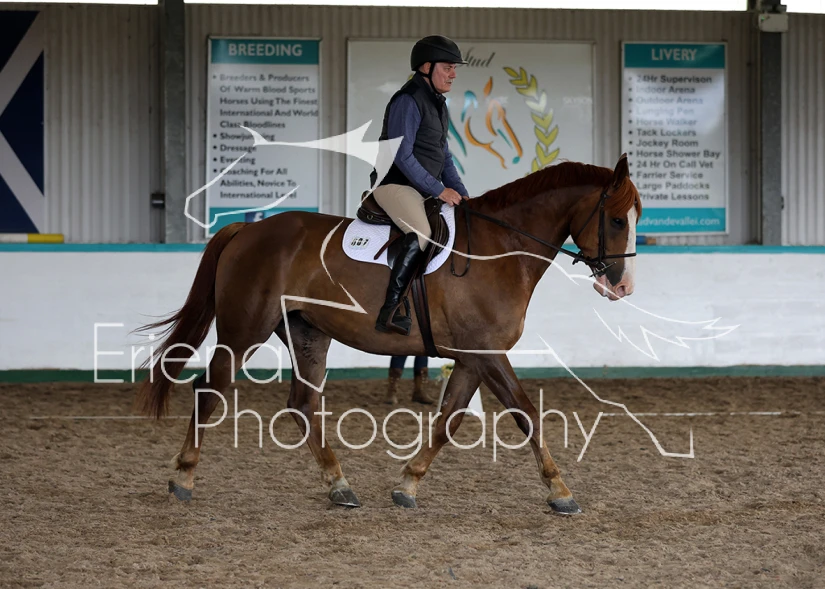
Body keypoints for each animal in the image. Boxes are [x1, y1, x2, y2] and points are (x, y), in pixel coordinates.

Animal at [136, 154, 641, 515]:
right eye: (617, 220)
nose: (622, 287)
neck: (498, 251)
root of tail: (247, 228)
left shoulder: (472, 357)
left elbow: (449, 420)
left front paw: (408, 484)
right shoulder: (487, 352)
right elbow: (526, 414)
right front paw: (560, 491)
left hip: (308, 333)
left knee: (302, 404)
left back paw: (340, 485)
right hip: (245, 330)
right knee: (210, 390)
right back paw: (183, 477)